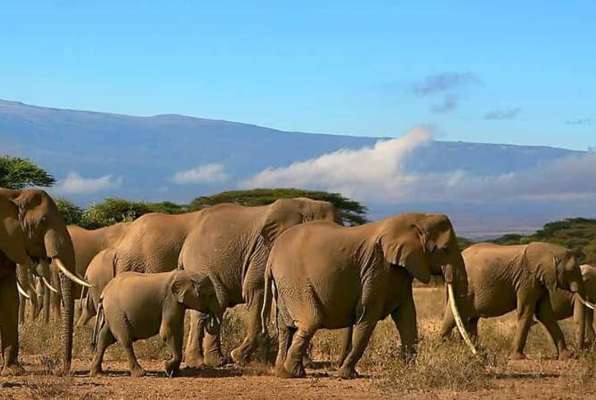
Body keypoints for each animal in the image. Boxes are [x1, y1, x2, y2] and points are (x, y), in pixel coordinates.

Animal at [0, 188, 92, 376]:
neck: (14, 195)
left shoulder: (10, 243)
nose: (64, 370)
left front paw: (13, 371)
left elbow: (10, 299)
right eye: (42, 221)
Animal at [88, 268, 219, 378]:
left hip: (111, 313)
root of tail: (104, 293)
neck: (187, 274)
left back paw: (97, 373)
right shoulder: (170, 301)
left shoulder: (177, 304)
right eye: (210, 295)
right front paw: (167, 368)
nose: (209, 317)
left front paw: (175, 372)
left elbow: (178, 331)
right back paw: (140, 373)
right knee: (125, 340)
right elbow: (167, 331)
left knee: (104, 338)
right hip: (116, 312)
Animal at [177, 196, 340, 366]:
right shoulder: (265, 251)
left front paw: (305, 363)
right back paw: (206, 362)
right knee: (214, 305)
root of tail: (186, 243)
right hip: (200, 264)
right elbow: (255, 289)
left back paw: (211, 361)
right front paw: (238, 357)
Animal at [438, 242, 588, 360]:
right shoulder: (527, 279)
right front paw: (519, 357)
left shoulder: (539, 282)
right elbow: (526, 312)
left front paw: (567, 356)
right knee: (453, 316)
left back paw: (477, 352)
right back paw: (442, 348)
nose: (579, 353)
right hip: (462, 287)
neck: (548, 250)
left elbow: (545, 314)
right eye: (572, 270)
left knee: (470, 320)